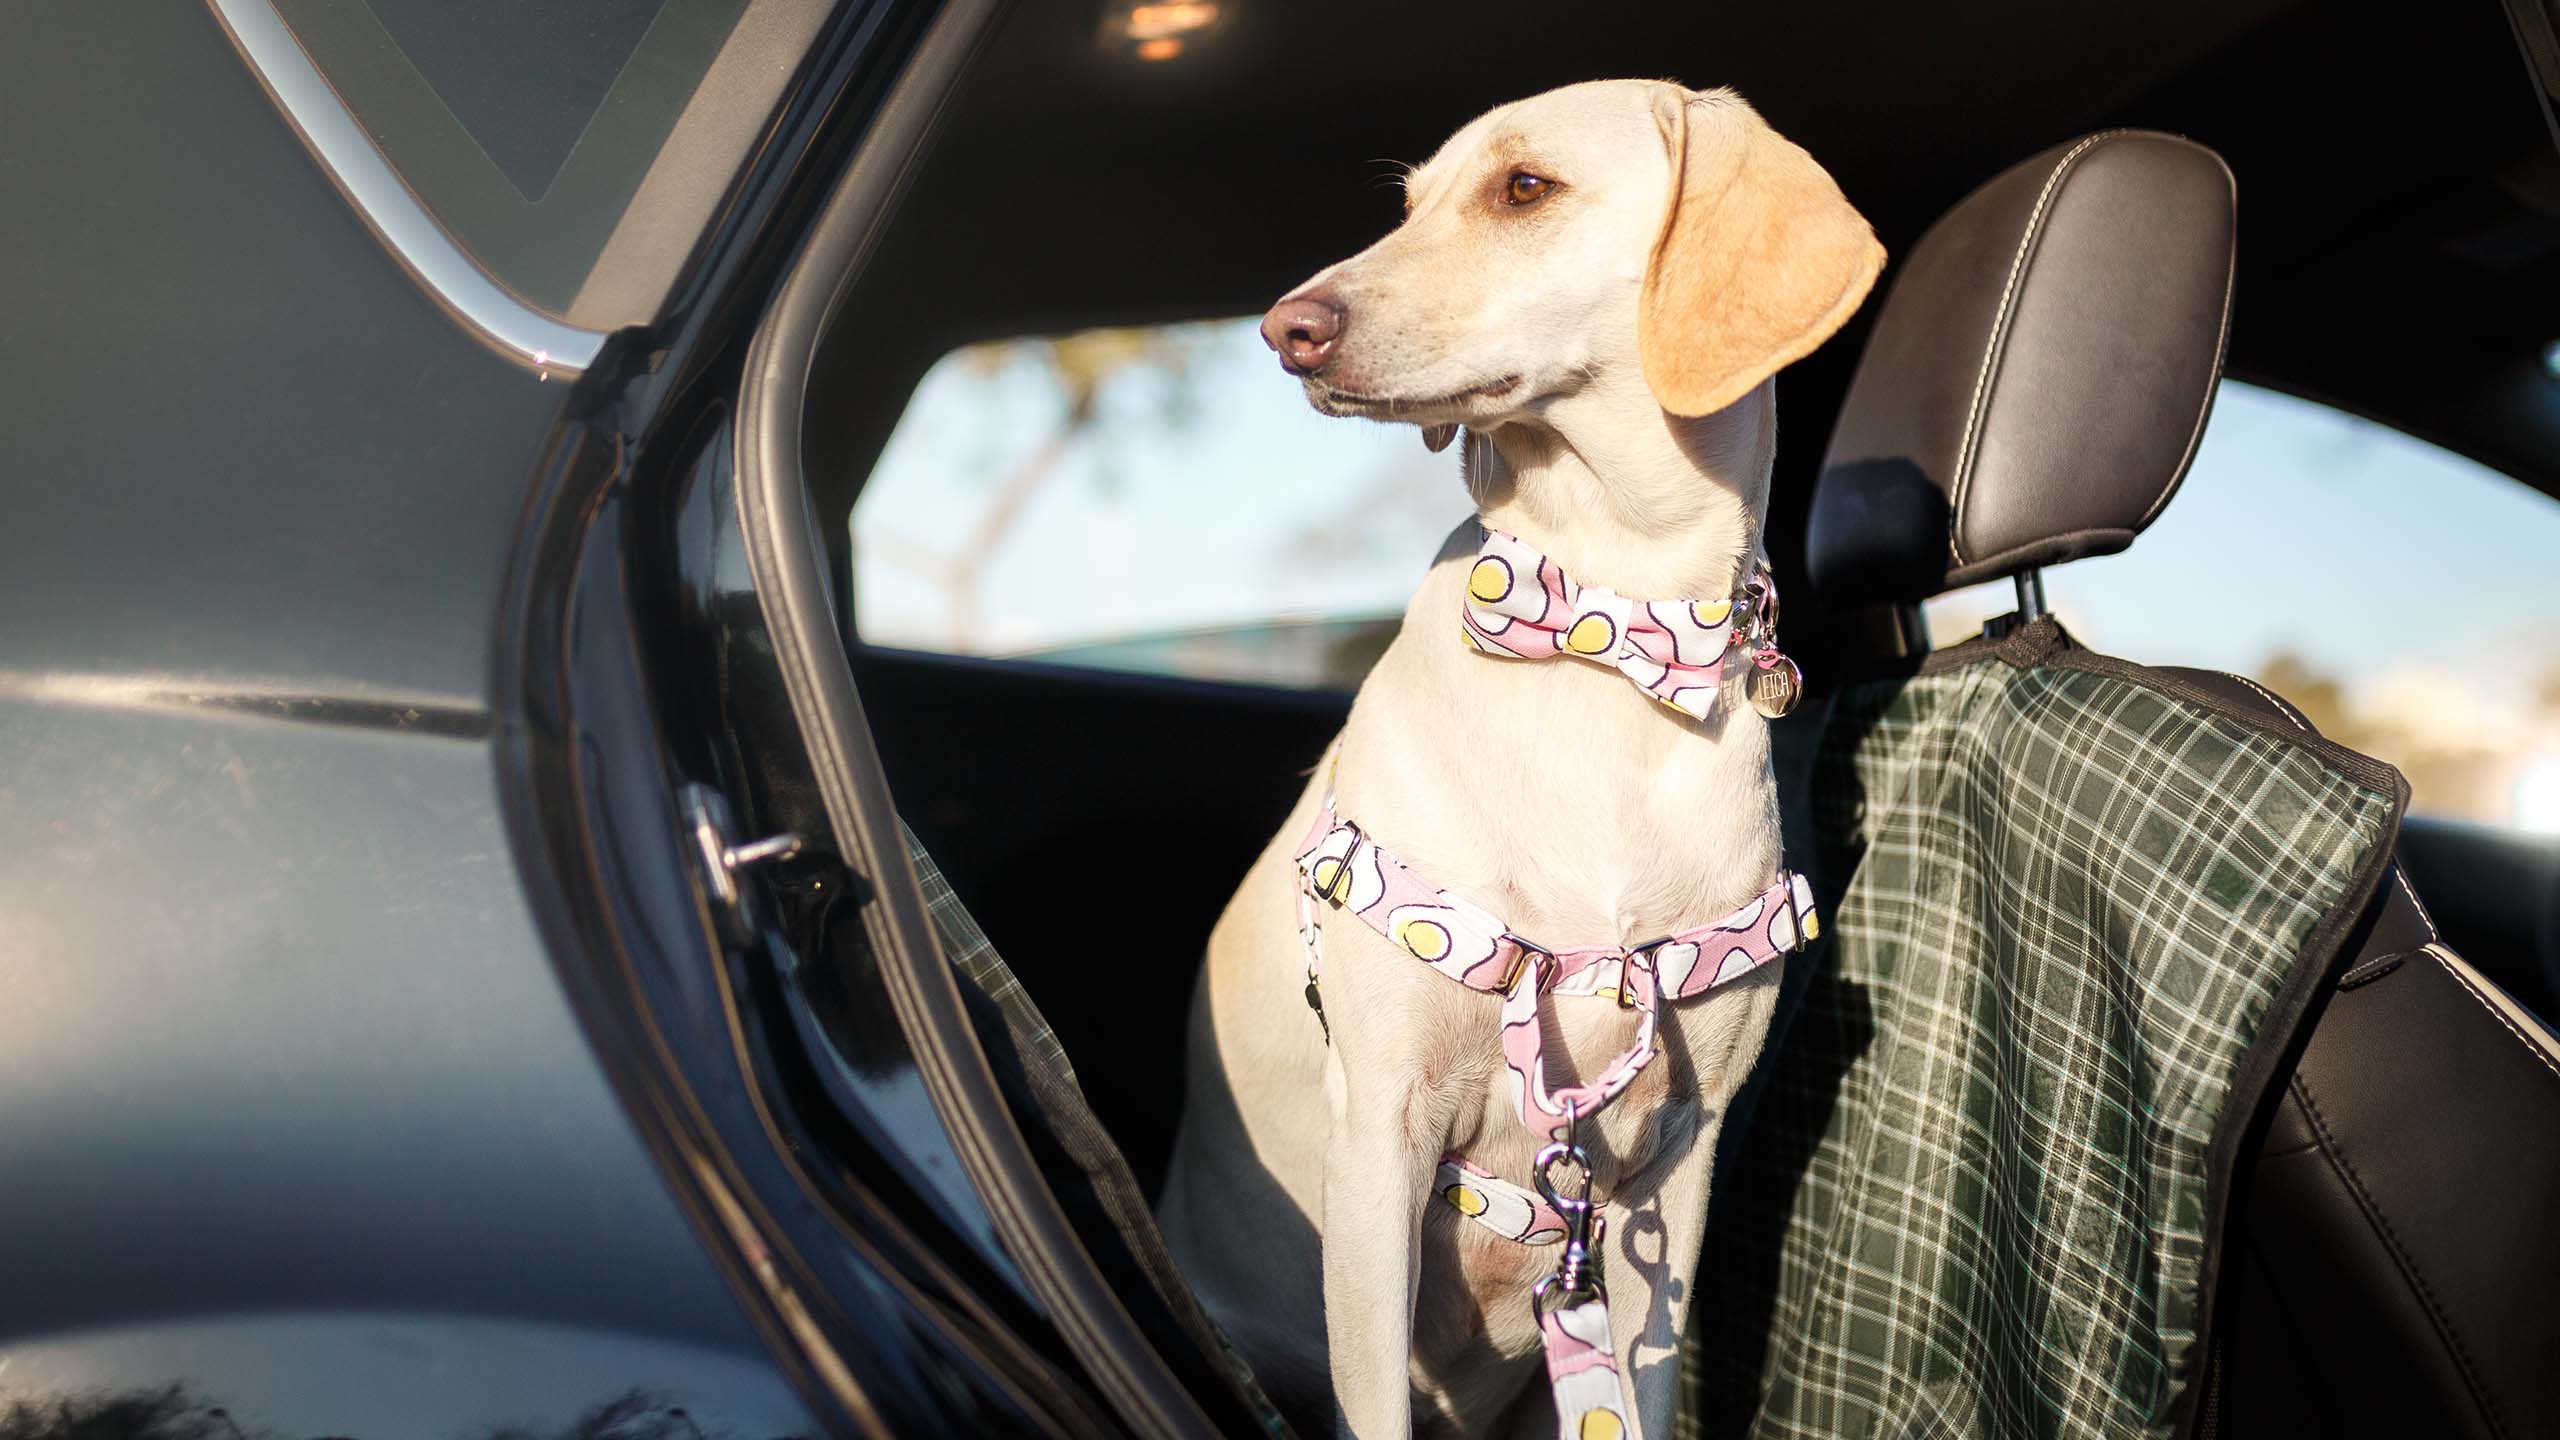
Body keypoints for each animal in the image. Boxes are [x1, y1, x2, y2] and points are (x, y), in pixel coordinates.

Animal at [1162, 81, 1884, 1434]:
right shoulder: (1379, 1134)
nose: (1287, 328)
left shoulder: (1672, 1165)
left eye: (1524, 190)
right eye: (1406, 205)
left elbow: (1643, 1389)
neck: (1609, 641)